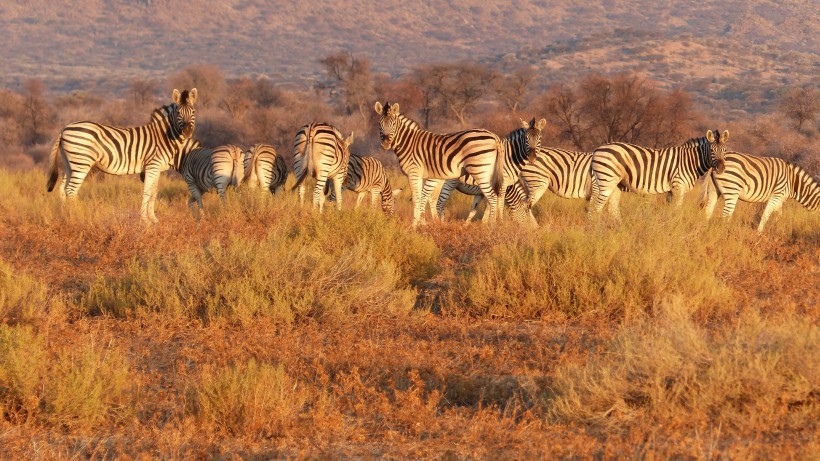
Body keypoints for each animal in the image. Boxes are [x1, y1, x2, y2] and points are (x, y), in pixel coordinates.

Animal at [46, 88, 199, 223]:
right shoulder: (152, 166)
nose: (187, 132)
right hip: (81, 163)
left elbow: (154, 192)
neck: (165, 136)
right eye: (178, 112)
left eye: (193, 111)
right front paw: (145, 221)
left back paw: (65, 217)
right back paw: (77, 218)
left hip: (69, 163)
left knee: (62, 189)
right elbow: (147, 192)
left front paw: (154, 219)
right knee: (71, 190)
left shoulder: (157, 169)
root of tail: (64, 129)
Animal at [376, 102, 506, 228]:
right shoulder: (419, 175)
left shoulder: (413, 173)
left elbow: (416, 199)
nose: (386, 143)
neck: (409, 143)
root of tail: (495, 137)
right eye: (380, 124)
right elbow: (420, 197)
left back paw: (491, 226)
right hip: (489, 174)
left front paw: (413, 226)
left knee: (492, 197)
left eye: (393, 124)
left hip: (479, 171)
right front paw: (420, 224)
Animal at [588, 127, 732, 217]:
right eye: (712, 150)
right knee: (595, 208)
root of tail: (597, 149)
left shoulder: (671, 190)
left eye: (725, 150)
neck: (689, 161)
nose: (721, 169)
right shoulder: (678, 187)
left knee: (611, 207)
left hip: (616, 184)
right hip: (606, 181)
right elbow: (677, 210)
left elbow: (669, 209)